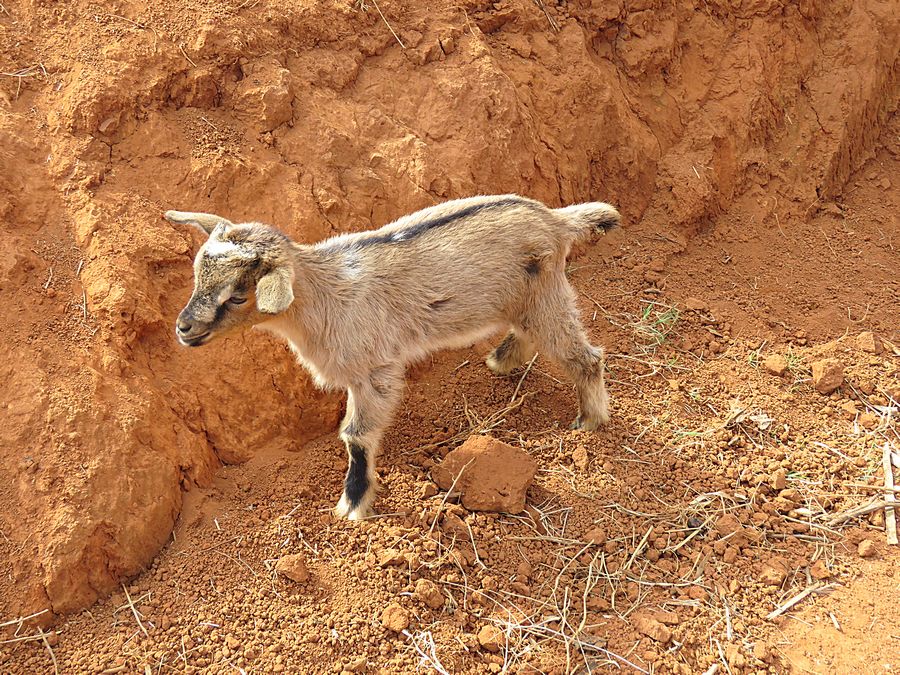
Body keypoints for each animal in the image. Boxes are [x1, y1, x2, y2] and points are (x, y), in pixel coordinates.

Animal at [166, 194, 620, 520]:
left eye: (238, 296)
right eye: (196, 276)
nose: (183, 328)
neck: (322, 297)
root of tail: (555, 220)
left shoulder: (374, 370)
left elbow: (356, 436)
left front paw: (352, 505)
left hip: (544, 294)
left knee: (586, 357)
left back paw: (589, 420)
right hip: (525, 299)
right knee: (530, 335)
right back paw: (501, 360)